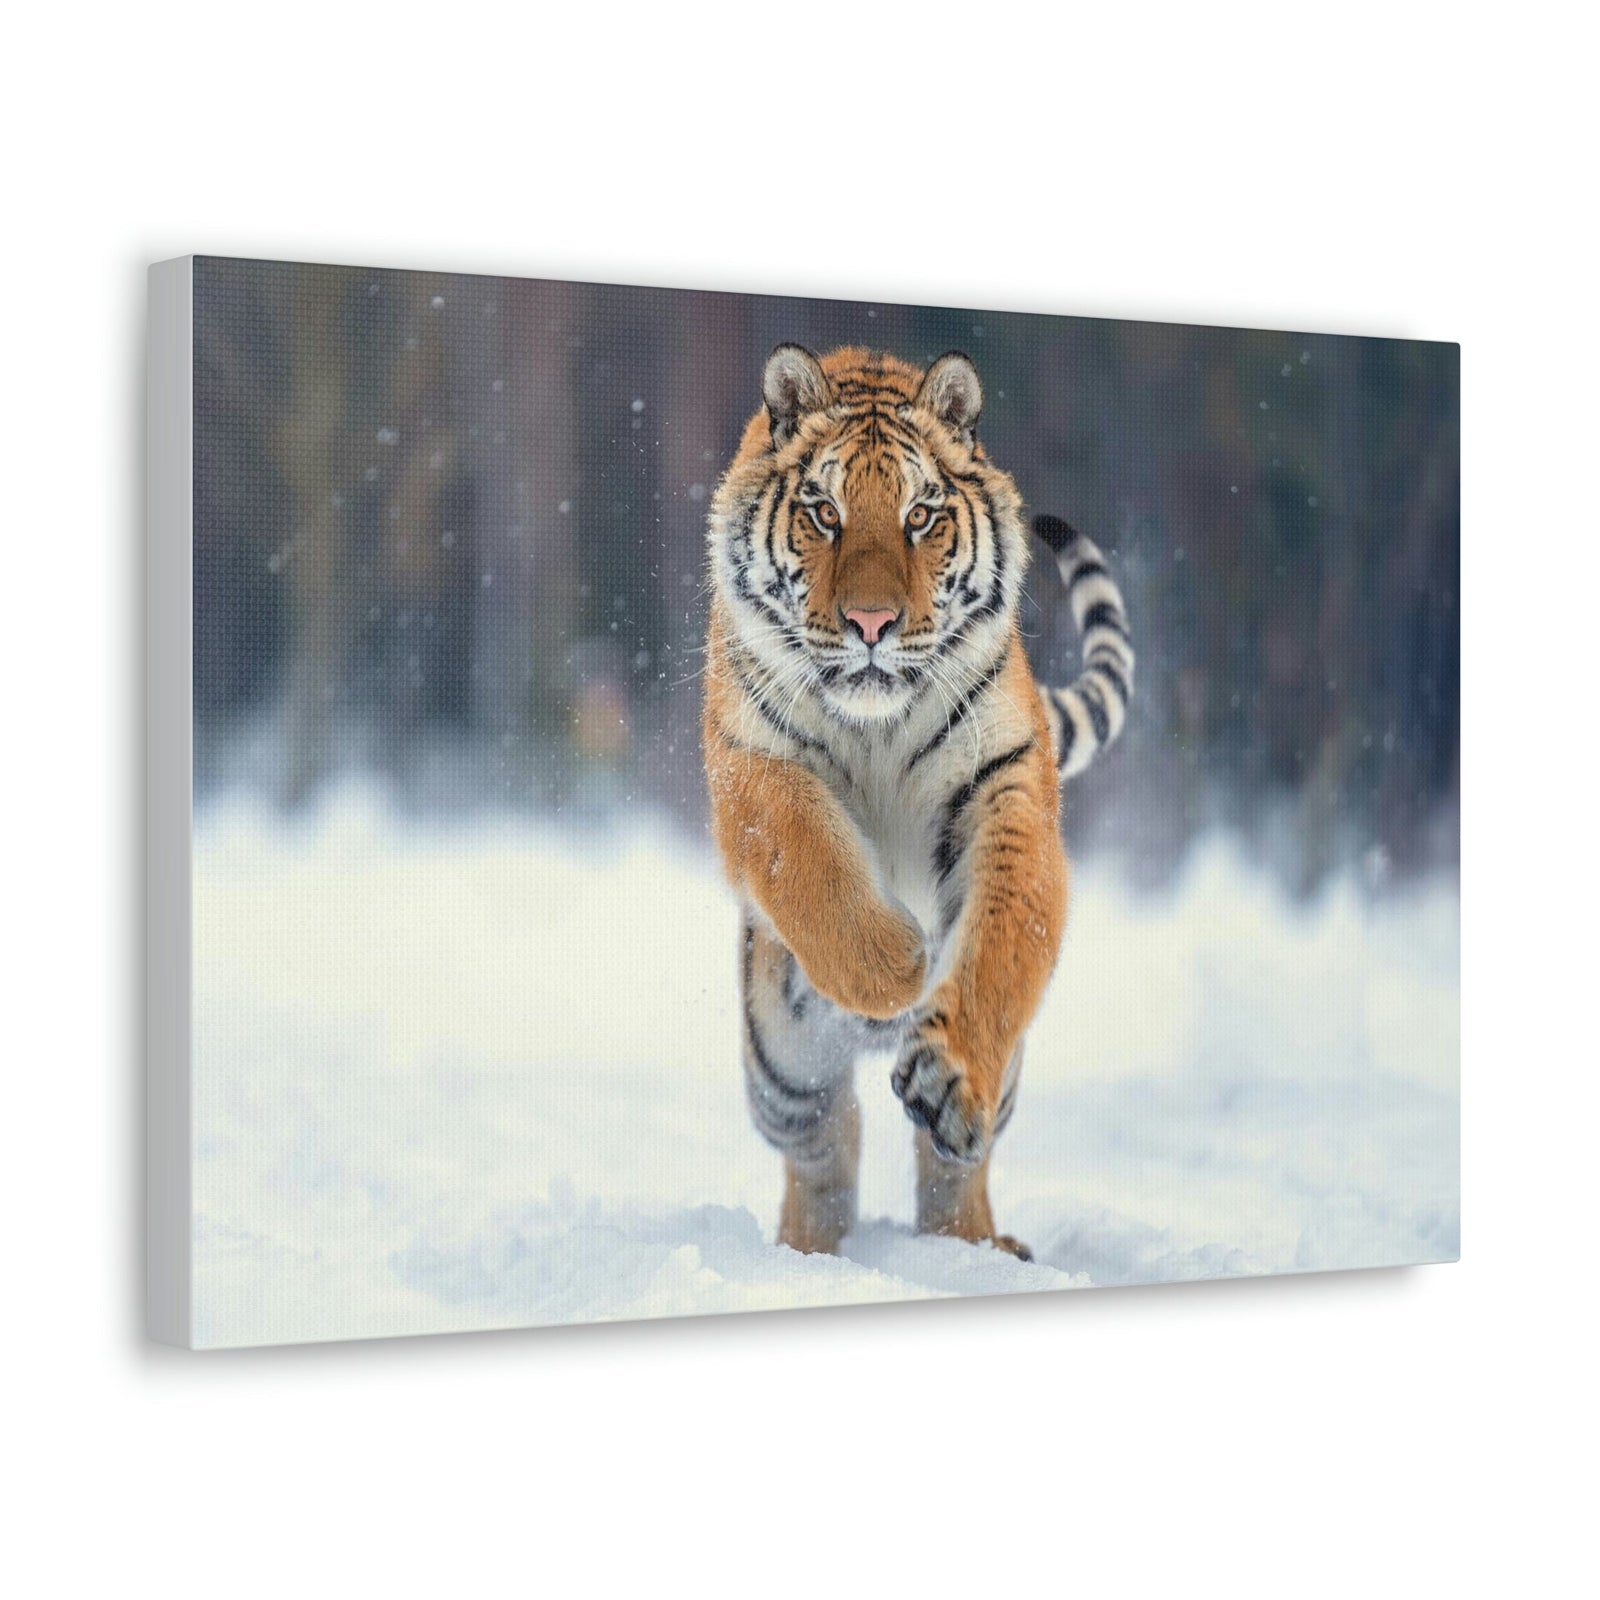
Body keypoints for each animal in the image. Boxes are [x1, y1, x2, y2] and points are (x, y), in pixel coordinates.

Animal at [702, 344, 1132, 1261]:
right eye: (824, 513)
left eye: (921, 515)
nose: (871, 624)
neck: (880, 724)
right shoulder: (752, 765)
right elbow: (809, 862)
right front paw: (896, 962)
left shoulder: (1007, 785)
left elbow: (1004, 939)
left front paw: (947, 1069)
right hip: (782, 1068)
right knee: (827, 1144)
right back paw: (808, 1255)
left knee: (952, 1166)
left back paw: (972, 1246)